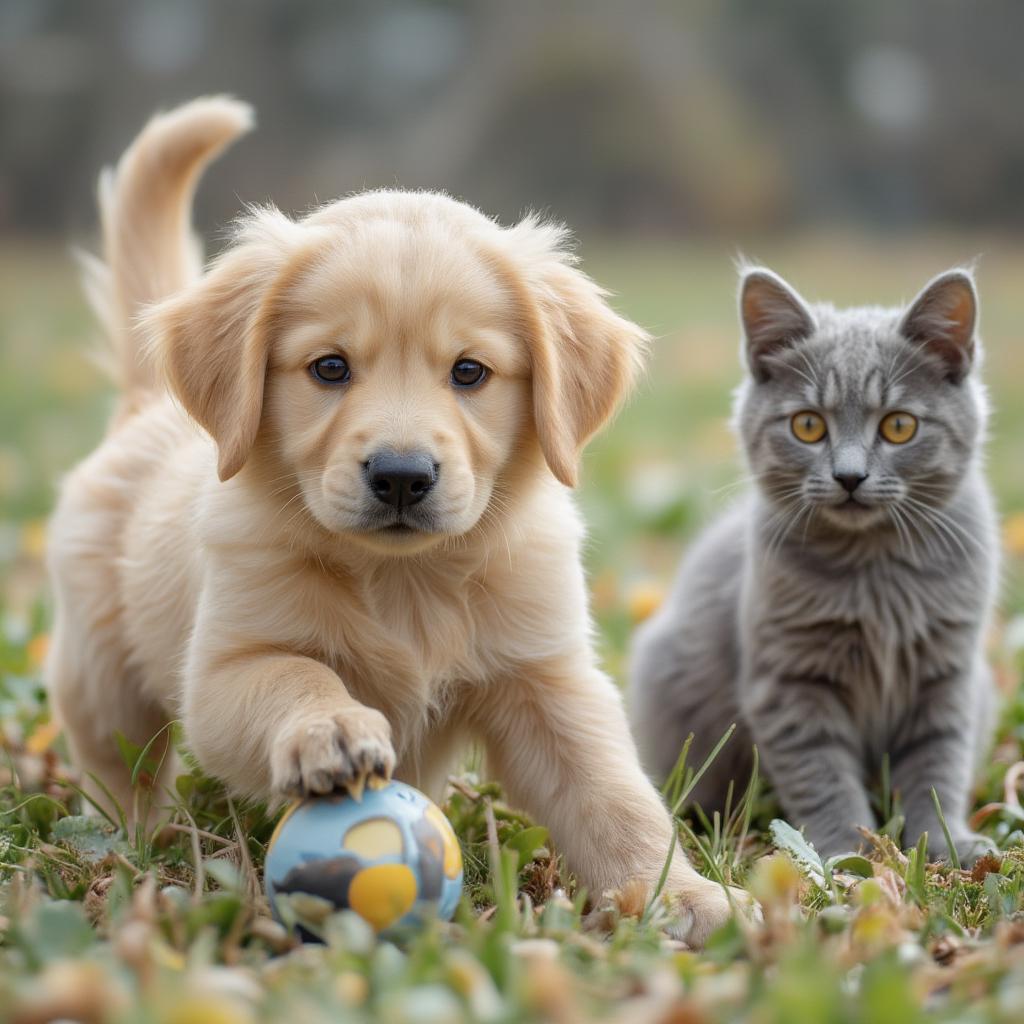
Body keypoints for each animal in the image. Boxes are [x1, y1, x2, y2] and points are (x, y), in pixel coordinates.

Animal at [46, 97, 737, 942]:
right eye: (330, 368)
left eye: (470, 372)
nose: (402, 476)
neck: (405, 579)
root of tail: (147, 403)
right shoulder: (226, 668)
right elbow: (296, 672)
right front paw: (332, 729)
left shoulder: (548, 679)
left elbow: (614, 796)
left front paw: (685, 899)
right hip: (99, 674)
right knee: (120, 765)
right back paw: (138, 839)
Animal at [630, 266, 999, 864]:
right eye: (807, 426)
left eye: (899, 426)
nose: (849, 476)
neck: (874, 571)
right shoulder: (790, 680)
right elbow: (821, 774)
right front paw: (846, 854)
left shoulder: (949, 676)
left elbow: (938, 767)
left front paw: (945, 846)